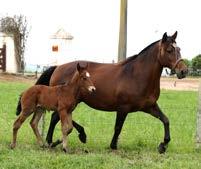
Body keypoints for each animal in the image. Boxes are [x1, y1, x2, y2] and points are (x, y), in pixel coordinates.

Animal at [16, 31, 188, 152]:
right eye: (169, 50)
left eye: (179, 49)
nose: (184, 71)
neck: (136, 75)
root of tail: (58, 67)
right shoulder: (123, 108)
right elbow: (118, 127)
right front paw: (113, 145)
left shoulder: (150, 106)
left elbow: (166, 120)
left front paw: (163, 145)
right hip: (68, 102)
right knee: (56, 117)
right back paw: (70, 137)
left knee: (55, 118)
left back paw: (54, 141)